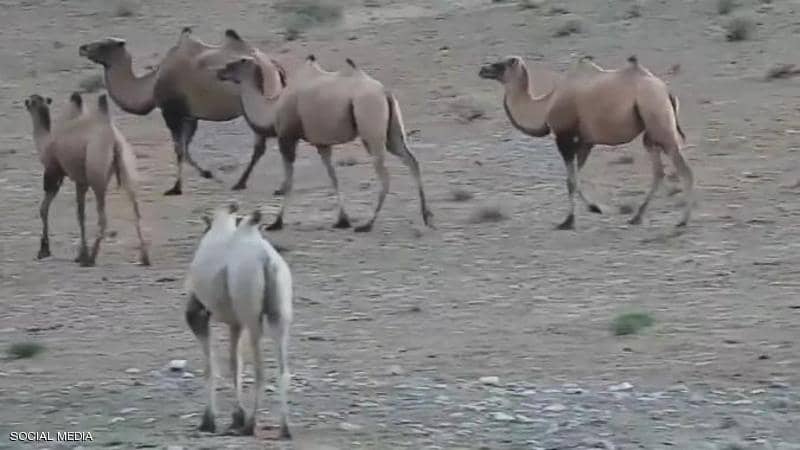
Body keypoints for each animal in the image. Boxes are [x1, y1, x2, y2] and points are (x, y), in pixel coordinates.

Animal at [23, 92, 150, 266]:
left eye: (32, 100)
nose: (25, 102)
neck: (46, 142)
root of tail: (114, 139)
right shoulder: (80, 180)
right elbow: (80, 214)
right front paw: (79, 254)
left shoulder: (54, 171)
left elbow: (44, 208)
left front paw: (44, 250)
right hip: (127, 164)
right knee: (135, 209)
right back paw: (145, 257)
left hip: (97, 172)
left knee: (103, 217)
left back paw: (91, 258)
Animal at [79, 27, 272, 194]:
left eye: (103, 45)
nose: (82, 48)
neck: (151, 85)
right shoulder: (189, 115)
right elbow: (185, 147)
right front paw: (206, 174)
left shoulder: (171, 112)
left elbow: (179, 148)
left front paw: (177, 187)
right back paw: (242, 182)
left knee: (260, 146)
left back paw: (240, 183)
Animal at [183, 203, 292, 440]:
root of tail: (267, 260)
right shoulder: (236, 322)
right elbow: (235, 364)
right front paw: (235, 418)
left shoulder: (199, 315)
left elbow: (210, 366)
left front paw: (208, 421)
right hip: (279, 312)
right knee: (282, 368)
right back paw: (285, 428)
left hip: (251, 312)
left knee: (260, 369)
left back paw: (250, 425)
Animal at [216, 53, 434, 232]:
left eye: (241, 61)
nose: (220, 71)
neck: (272, 108)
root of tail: (384, 92)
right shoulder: (321, 144)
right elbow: (333, 177)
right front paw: (342, 220)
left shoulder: (287, 137)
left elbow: (288, 182)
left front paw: (276, 223)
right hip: (392, 133)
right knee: (412, 161)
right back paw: (427, 217)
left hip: (370, 125)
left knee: (385, 173)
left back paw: (368, 224)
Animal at [476, 55, 692, 229]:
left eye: (500, 64)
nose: (482, 70)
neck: (546, 105)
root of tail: (666, 91)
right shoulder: (585, 142)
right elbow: (574, 178)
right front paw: (594, 208)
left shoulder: (564, 137)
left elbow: (571, 181)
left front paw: (568, 221)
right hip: (650, 132)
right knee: (658, 171)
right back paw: (636, 217)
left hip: (659, 120)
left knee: (684, 169)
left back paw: (682, 220)